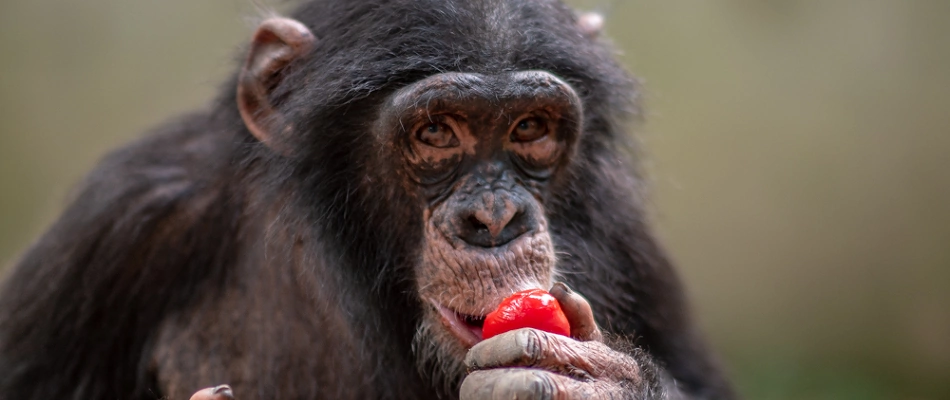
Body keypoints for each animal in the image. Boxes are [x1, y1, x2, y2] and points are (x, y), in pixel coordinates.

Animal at [0, 0, 736, 400]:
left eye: (530, 128)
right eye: (435, 131)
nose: (494, 218)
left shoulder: (629, 235)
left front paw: (601, 384)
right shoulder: (123, 219)